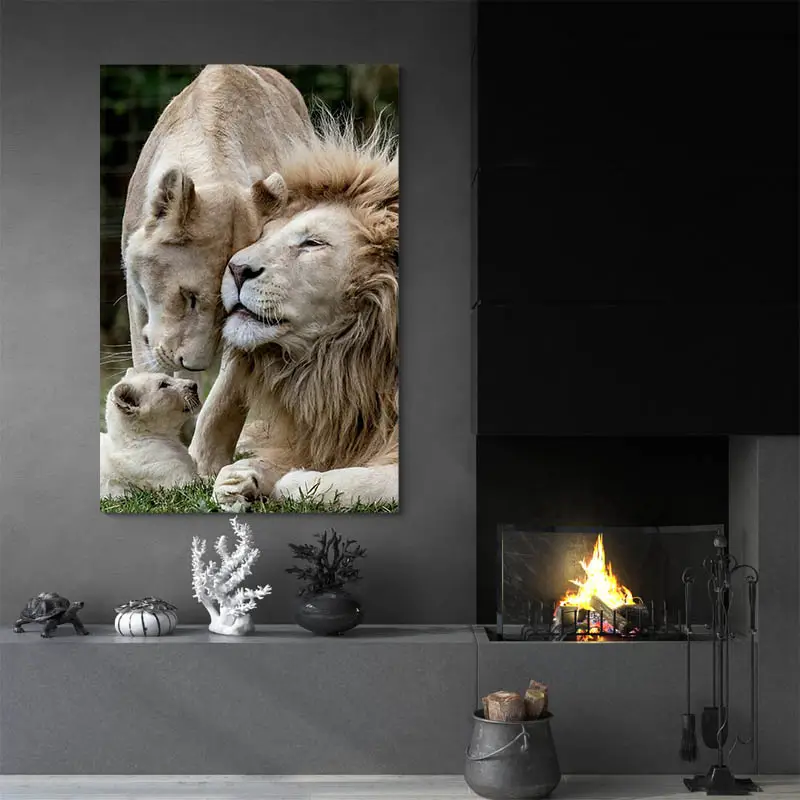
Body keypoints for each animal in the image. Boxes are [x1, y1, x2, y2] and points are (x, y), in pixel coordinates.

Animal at [188, 113, 399, 509]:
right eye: (262, 236)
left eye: (312, 243)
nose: (236, 268)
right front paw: (240, 478)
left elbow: (361, 481)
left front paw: (296, 481)